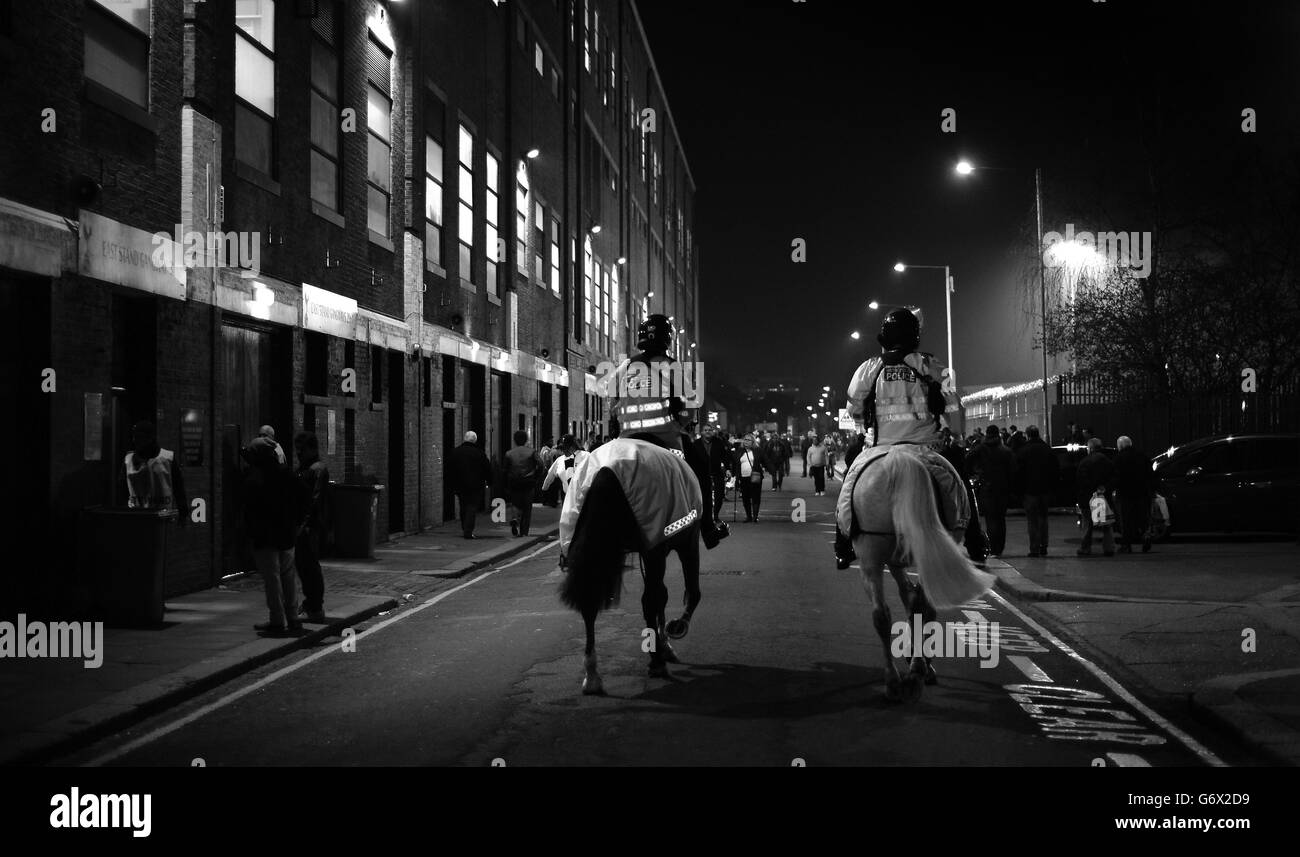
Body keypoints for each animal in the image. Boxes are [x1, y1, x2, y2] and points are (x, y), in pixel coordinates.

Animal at [556, 442, 702, 697]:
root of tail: (606, 470)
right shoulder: (683, 540)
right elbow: (688, 592)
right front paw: (671, 634)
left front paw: (664, 642)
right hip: (658, 547)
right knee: (652, 598)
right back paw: (656, 663)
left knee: (589, 602)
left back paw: (592, 676)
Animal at [837, 449, 987, 702]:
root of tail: (902, 459)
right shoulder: (900, 560)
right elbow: (914, 599)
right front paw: (920, 658)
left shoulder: (895, 559)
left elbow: (909, 596)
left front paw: (917, 656)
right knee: (913, 607)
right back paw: (914, 671)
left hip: (871, 553)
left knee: (882, 613)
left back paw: (897, 678)